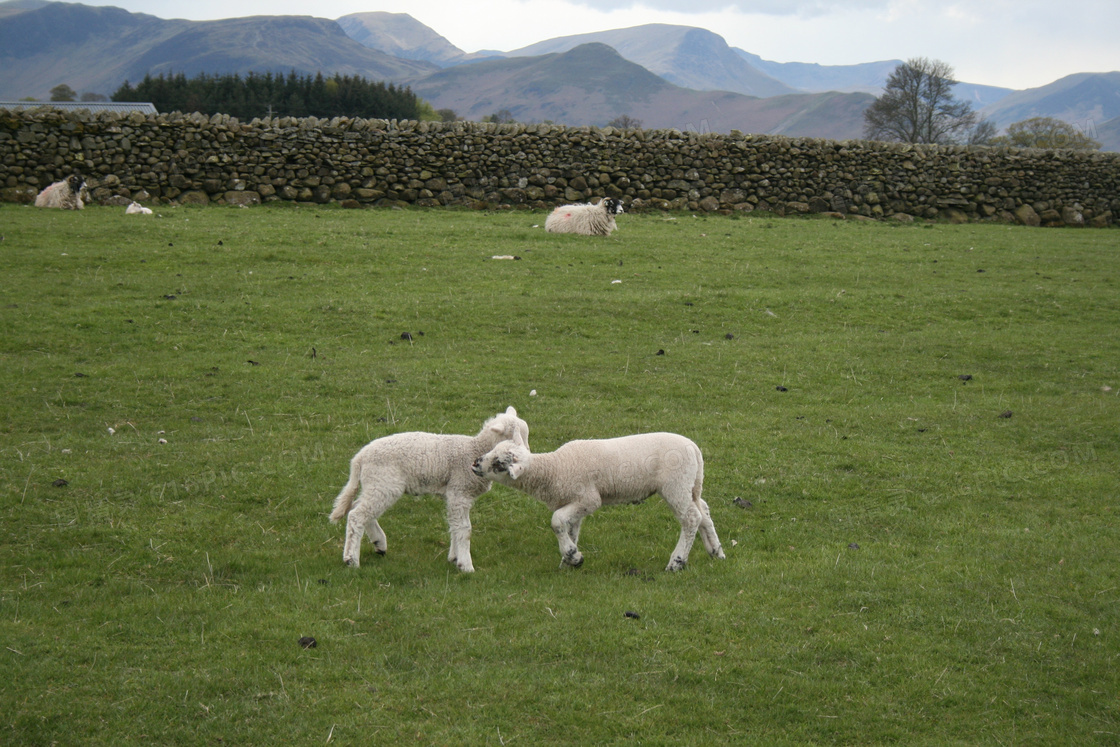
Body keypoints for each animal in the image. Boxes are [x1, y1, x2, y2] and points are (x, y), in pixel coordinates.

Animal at [327, 409, 528, 573]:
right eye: (514, 439)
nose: (527, 456)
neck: (474, 449)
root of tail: (359, 458)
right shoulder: (459, 491)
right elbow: (464, 528)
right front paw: (466, 565)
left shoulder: (453, 494)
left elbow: (455, 526)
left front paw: (454, 557)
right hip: (383, 483)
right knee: (357, 515)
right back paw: (351, 560)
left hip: (375, 484)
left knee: (356, 506)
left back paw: (379, 543)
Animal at [472, 430, 725, 568]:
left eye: (499, 464)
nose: (474, 464)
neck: (554, 469)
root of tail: (694, 448)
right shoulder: (574, 502)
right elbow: (570, 528)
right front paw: (571, 558)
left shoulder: (588, 498)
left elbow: (556, 521)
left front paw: (571, 555)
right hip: (691, 484)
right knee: (703, 511)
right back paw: (716, 552)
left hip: (676, 484)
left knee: (691, 518)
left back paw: (677, 562)